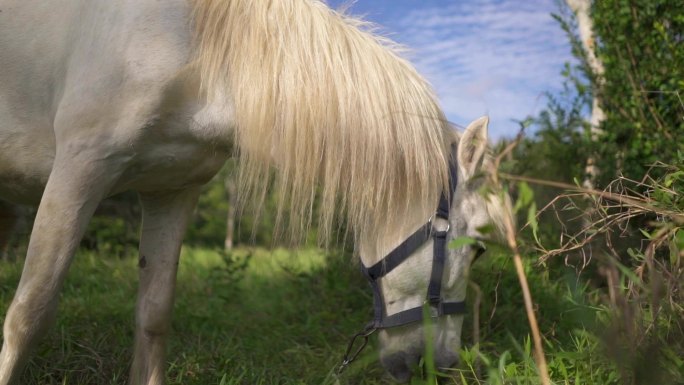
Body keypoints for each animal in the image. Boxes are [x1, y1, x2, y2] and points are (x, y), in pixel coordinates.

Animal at [0, 1, 502, 382]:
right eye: (477, 247)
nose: (446, 365)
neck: (190, 46)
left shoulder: (171, 193)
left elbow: (153, 316)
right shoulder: (79, 170)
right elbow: (28, 315)